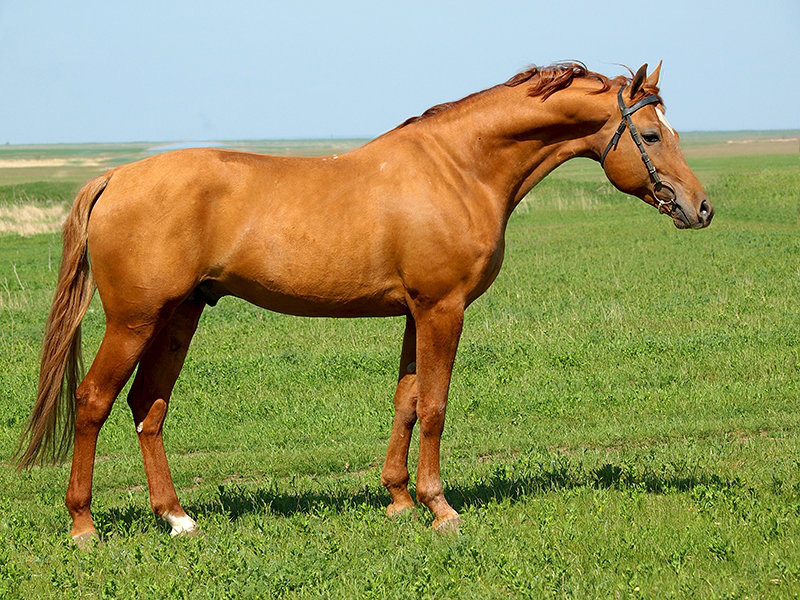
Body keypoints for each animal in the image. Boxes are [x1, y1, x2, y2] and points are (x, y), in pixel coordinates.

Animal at [15, 62, 712, 544]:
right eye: (651, 133)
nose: (700, 207)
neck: (459, 168)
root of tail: (115, 177)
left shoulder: (414, 312)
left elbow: (406, 402)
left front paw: (399, 500)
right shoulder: (442, 309)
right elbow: (434, 406)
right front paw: (440, 509)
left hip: (180, 314)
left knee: (147, 406)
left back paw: (178, 519)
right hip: (134, 320)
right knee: (94, 401)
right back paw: (83, 526)